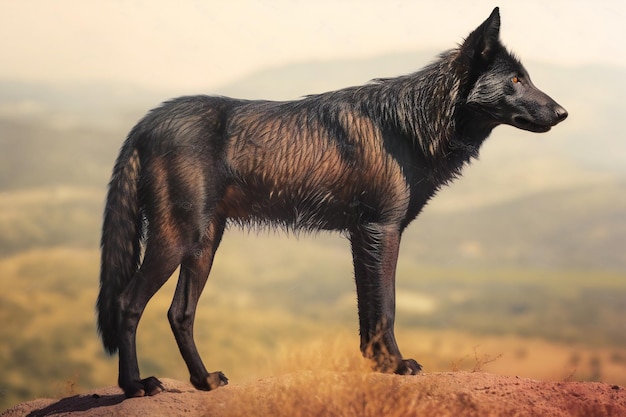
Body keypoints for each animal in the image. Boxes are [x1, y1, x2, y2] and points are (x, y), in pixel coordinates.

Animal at [97, 7, 564, 396]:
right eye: (516, 80)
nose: (562, 113)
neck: (411, 124)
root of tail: (146, 121)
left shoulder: (362, 237)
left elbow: (369, 311)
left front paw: (378, 366)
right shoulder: (382, 231)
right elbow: (387, 306)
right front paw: (397, 366)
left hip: (203, 246)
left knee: (180, 313)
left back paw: (203, 381)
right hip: (178, 241)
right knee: (126, 302)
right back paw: (135, 386)